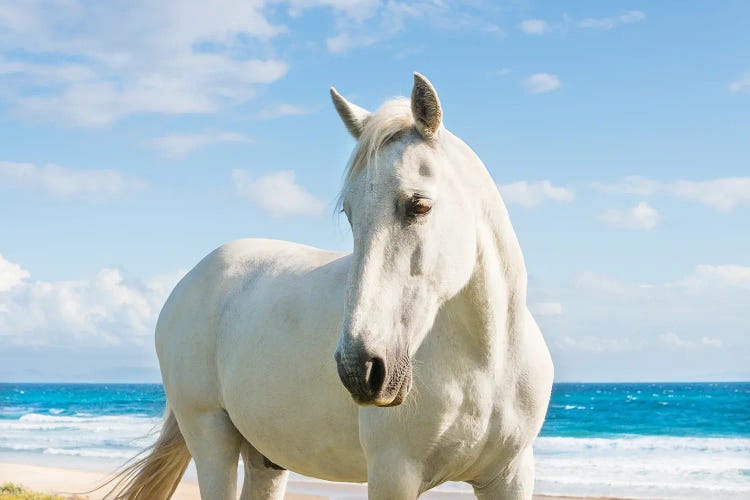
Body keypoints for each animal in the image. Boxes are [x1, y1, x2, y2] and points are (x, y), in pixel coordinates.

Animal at [113, 74, 560, 500]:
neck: (485, 365)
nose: (359, 368)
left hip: (265, 458)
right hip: (211, 440)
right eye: (349, 213)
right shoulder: (393, 476)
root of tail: (188, 283)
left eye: (419, 205)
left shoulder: (510, 477)